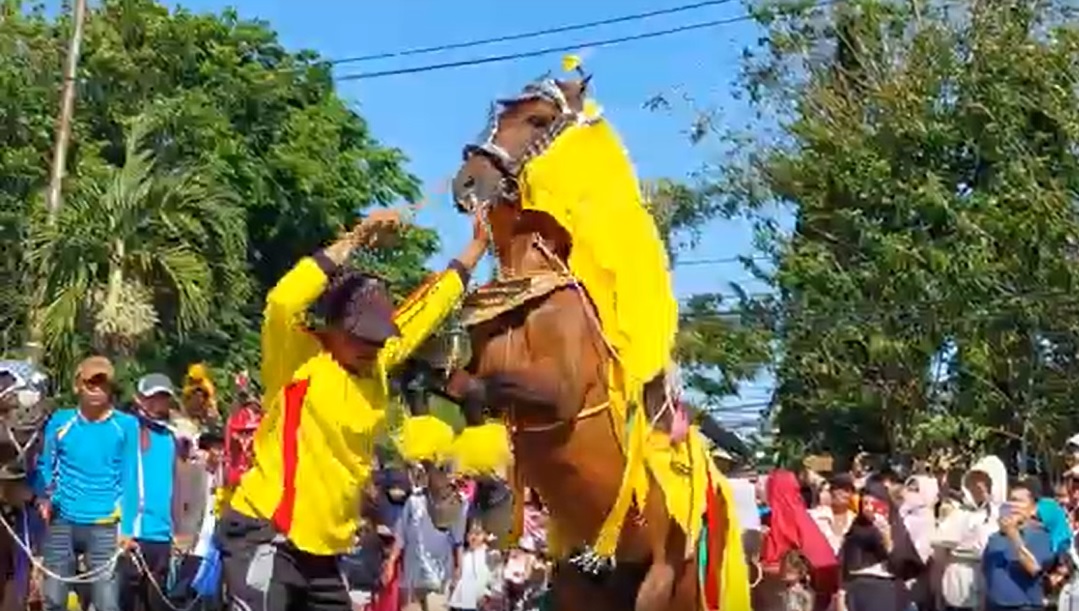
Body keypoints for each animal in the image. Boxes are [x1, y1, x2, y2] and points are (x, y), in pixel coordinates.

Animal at [438, 78, 733, 611]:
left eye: (538, 119)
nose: (466, 183)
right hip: (582, 585)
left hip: (661, 586)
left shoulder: (560, 391)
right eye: (494, 116)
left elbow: (484, 388)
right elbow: (459, 384)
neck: (530, 293)